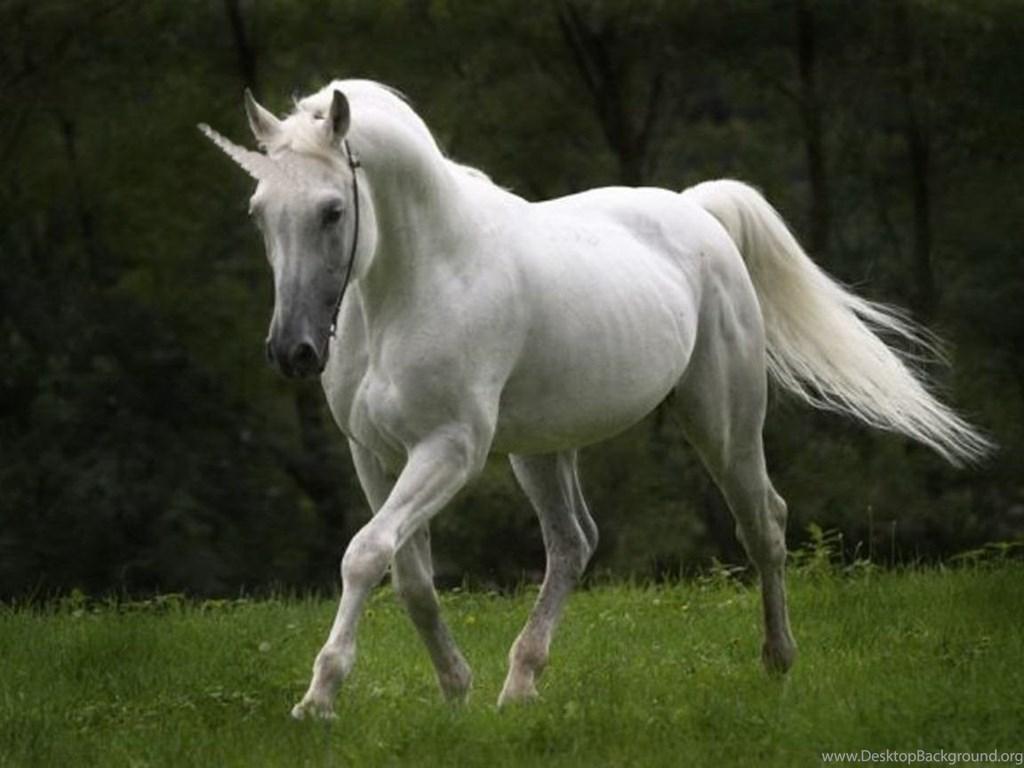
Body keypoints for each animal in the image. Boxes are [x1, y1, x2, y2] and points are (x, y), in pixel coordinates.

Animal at [199, 79, 990, 719]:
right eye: (258, 210)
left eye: (333, 211)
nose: (293, 352)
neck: (418, 280)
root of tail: (697, 211)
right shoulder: (374, 455)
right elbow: (410, 575)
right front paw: (454, 690)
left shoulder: (450, 449)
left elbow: (365, 555)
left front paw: (320, 698)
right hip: (542, 449)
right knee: (573, 542)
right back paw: (518, 687)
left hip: (723, 422)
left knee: (762, 524)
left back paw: (777, 664)